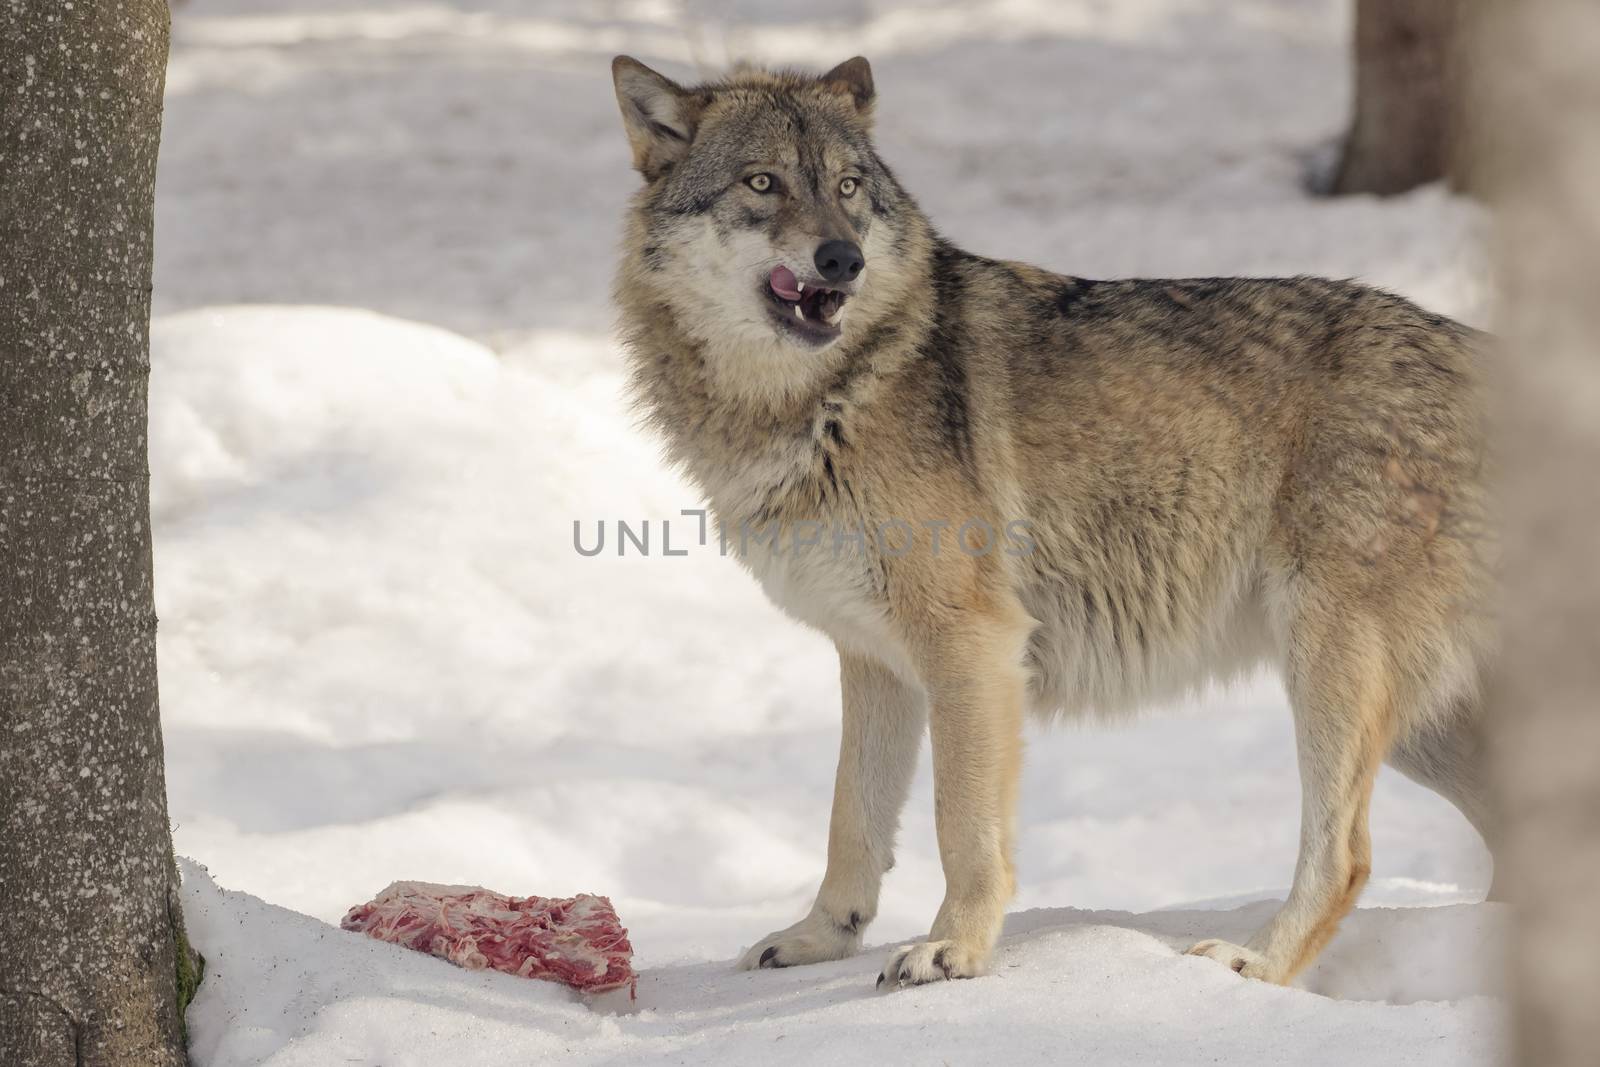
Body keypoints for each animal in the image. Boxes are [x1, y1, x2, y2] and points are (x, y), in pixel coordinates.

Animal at [604, 54, 1491, 991]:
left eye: (846, 187)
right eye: (763, 182)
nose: (842, 259)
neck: (825, 398)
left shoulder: (972, 648)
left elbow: (962, 826)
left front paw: (953, 948)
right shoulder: (874, 661)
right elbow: (852, 820)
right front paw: (819, 938)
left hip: (1331, 673)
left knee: (1346, 853)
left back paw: (1249, 963)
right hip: (1420, 726)